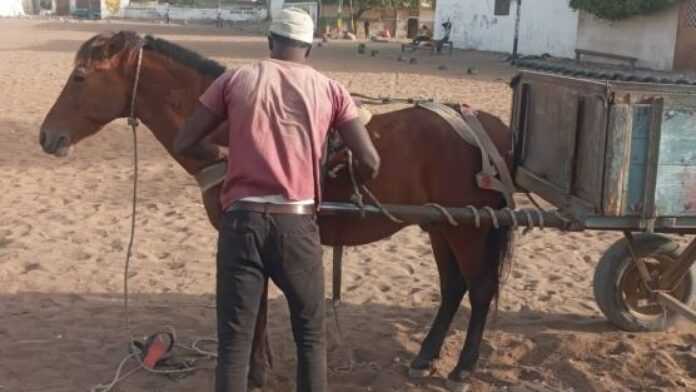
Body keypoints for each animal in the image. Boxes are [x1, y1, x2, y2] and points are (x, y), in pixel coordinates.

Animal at [40, 32, 512, 390]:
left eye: (80, 76)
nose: (47, 136)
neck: (229, 129)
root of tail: (492, 127)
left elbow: (253, 308)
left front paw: (254, 374)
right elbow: (263, 308)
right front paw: (261, 366)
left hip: (469, 231)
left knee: (479, 289)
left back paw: (462, 368)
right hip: (441, 226)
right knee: (452, 289)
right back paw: (425, 357)